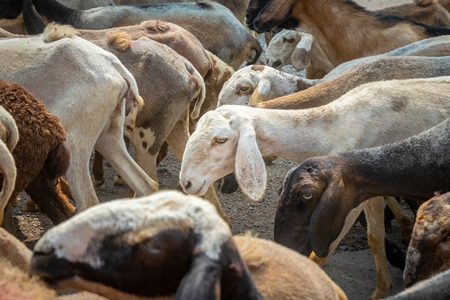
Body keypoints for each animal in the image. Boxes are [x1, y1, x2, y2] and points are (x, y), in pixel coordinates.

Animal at [180, 77, 450, 298]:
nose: (186, 182)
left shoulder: (348, 195)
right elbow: (375, 238)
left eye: (220, 139)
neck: (336, 126)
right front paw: (382, 288)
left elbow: (327, 250)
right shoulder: (368, 189)